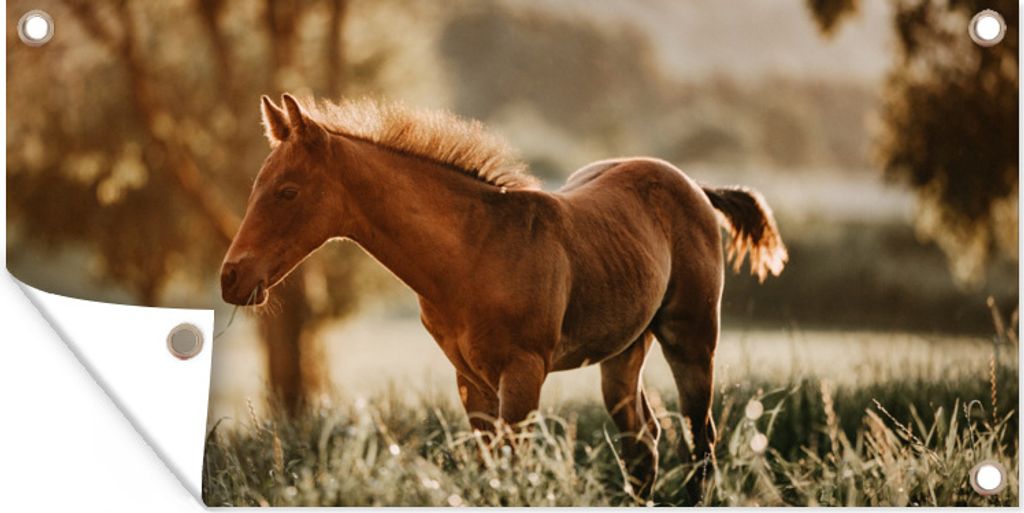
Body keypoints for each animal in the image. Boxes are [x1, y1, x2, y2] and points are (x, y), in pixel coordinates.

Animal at [220, 94, 788, 503]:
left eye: (287, 192)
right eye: (255, 187)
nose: (231, 278)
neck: (474, 252)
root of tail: (693, 184)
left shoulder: (523, 372)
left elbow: (516, 471)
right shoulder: (470, 379)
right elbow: (490, 471)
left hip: (691, 338)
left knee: (700, 439)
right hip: (624, 350)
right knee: (643, 443)